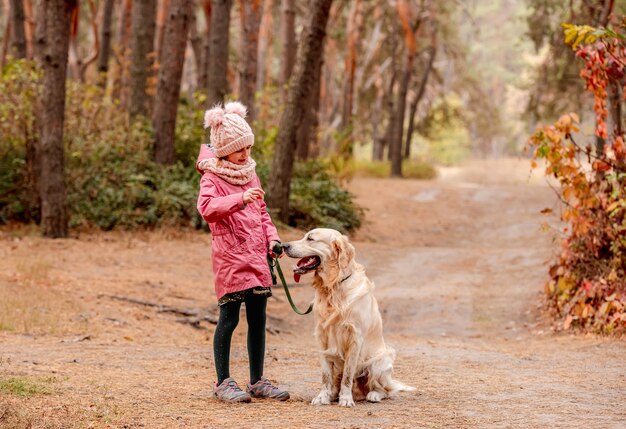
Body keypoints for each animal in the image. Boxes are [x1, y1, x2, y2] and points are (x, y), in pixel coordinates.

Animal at [282, 226, 414, 406]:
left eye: (310, 239)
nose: (284, 246)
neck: (333, 286)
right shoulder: (321, 337)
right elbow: (326, 375)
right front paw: (322, 397)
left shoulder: (355, 337)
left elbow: (347, 375)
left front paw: (345, 399)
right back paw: (333, 394)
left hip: (380, 361)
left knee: (384, 390)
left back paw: (373, 395)